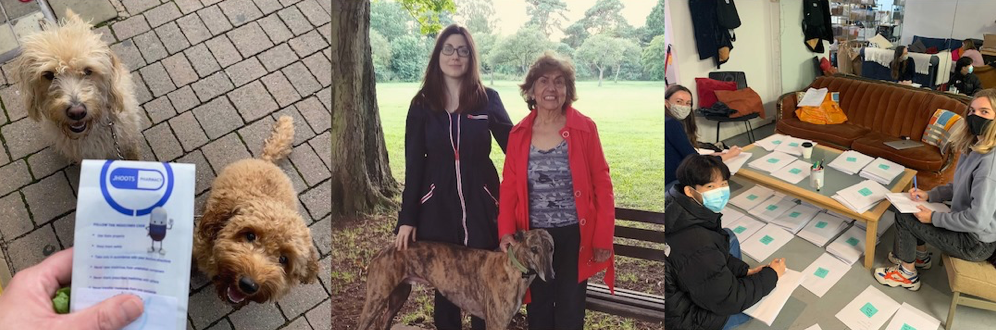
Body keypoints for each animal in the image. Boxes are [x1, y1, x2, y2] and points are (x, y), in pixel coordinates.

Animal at [358, 229, 556, 330]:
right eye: (534, 249)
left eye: (551, 248)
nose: (551, 276)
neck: (513, 268)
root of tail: (381, 251)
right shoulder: (496, 323)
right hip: (376, 299)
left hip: (399, 296)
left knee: (383, 321)